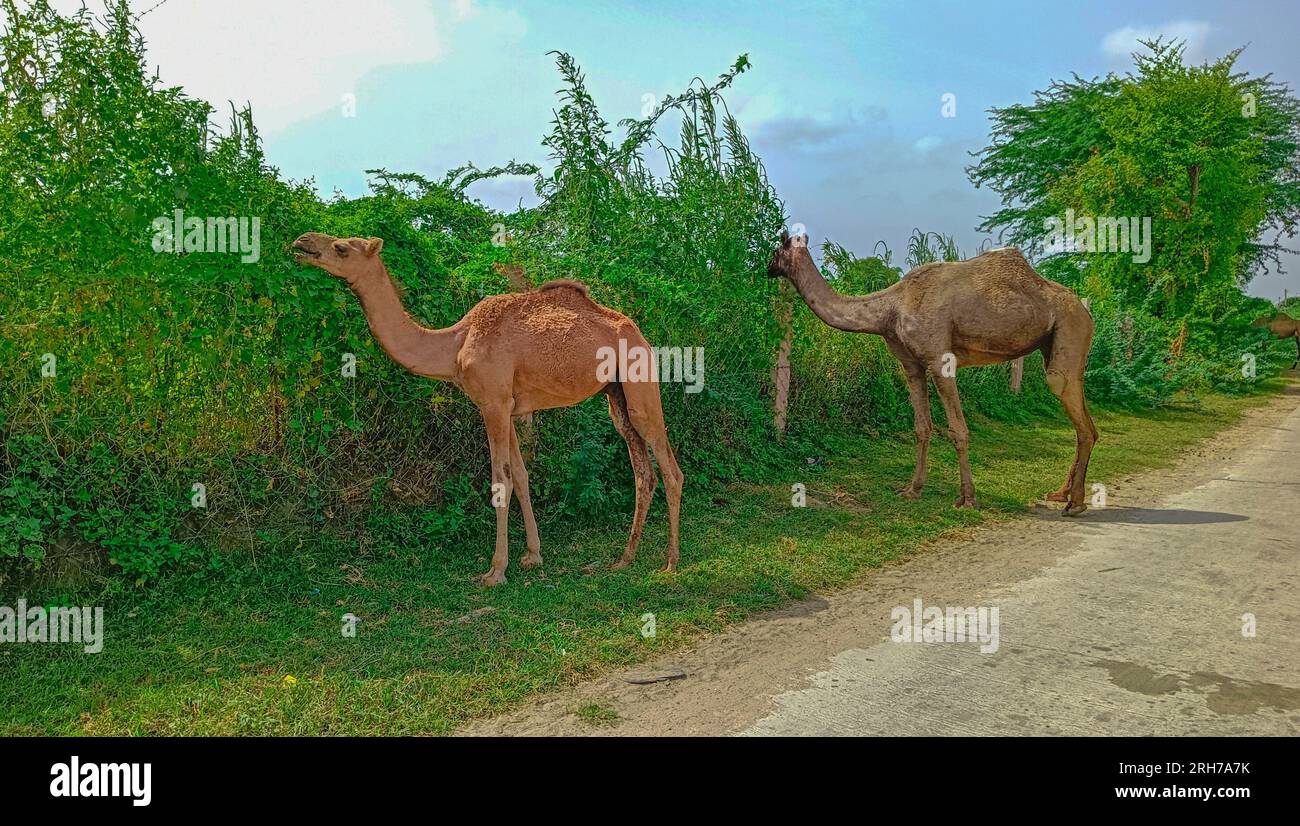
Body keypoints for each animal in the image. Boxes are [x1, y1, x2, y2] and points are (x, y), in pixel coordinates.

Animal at [292, 232, 681, 585]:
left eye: (341, 247)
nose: (301, 243)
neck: (454, 345)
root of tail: (640, 333)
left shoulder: (492, 404)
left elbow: (500, 480)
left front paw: (496, 571)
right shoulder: (507, 406)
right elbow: (521, 476)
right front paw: (533, 555)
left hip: (641, 382)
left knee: (669, 468)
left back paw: (671, 563)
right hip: (616, 395)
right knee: (642, 471)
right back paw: (625, 558)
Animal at [764, 232, 1102, 515]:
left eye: (776, 249)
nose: (766, 267)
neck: (890, 308)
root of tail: (1086, 310)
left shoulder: (940, 359)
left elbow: (958, 430)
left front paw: (968, 498)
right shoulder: (912, 365)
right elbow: (922, 428)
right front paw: (912, 489)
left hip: (1070, 327)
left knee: (1072, 404)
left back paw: (1075, 503)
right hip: (1055, 342)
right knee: (1085, 419)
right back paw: (1061, 493)